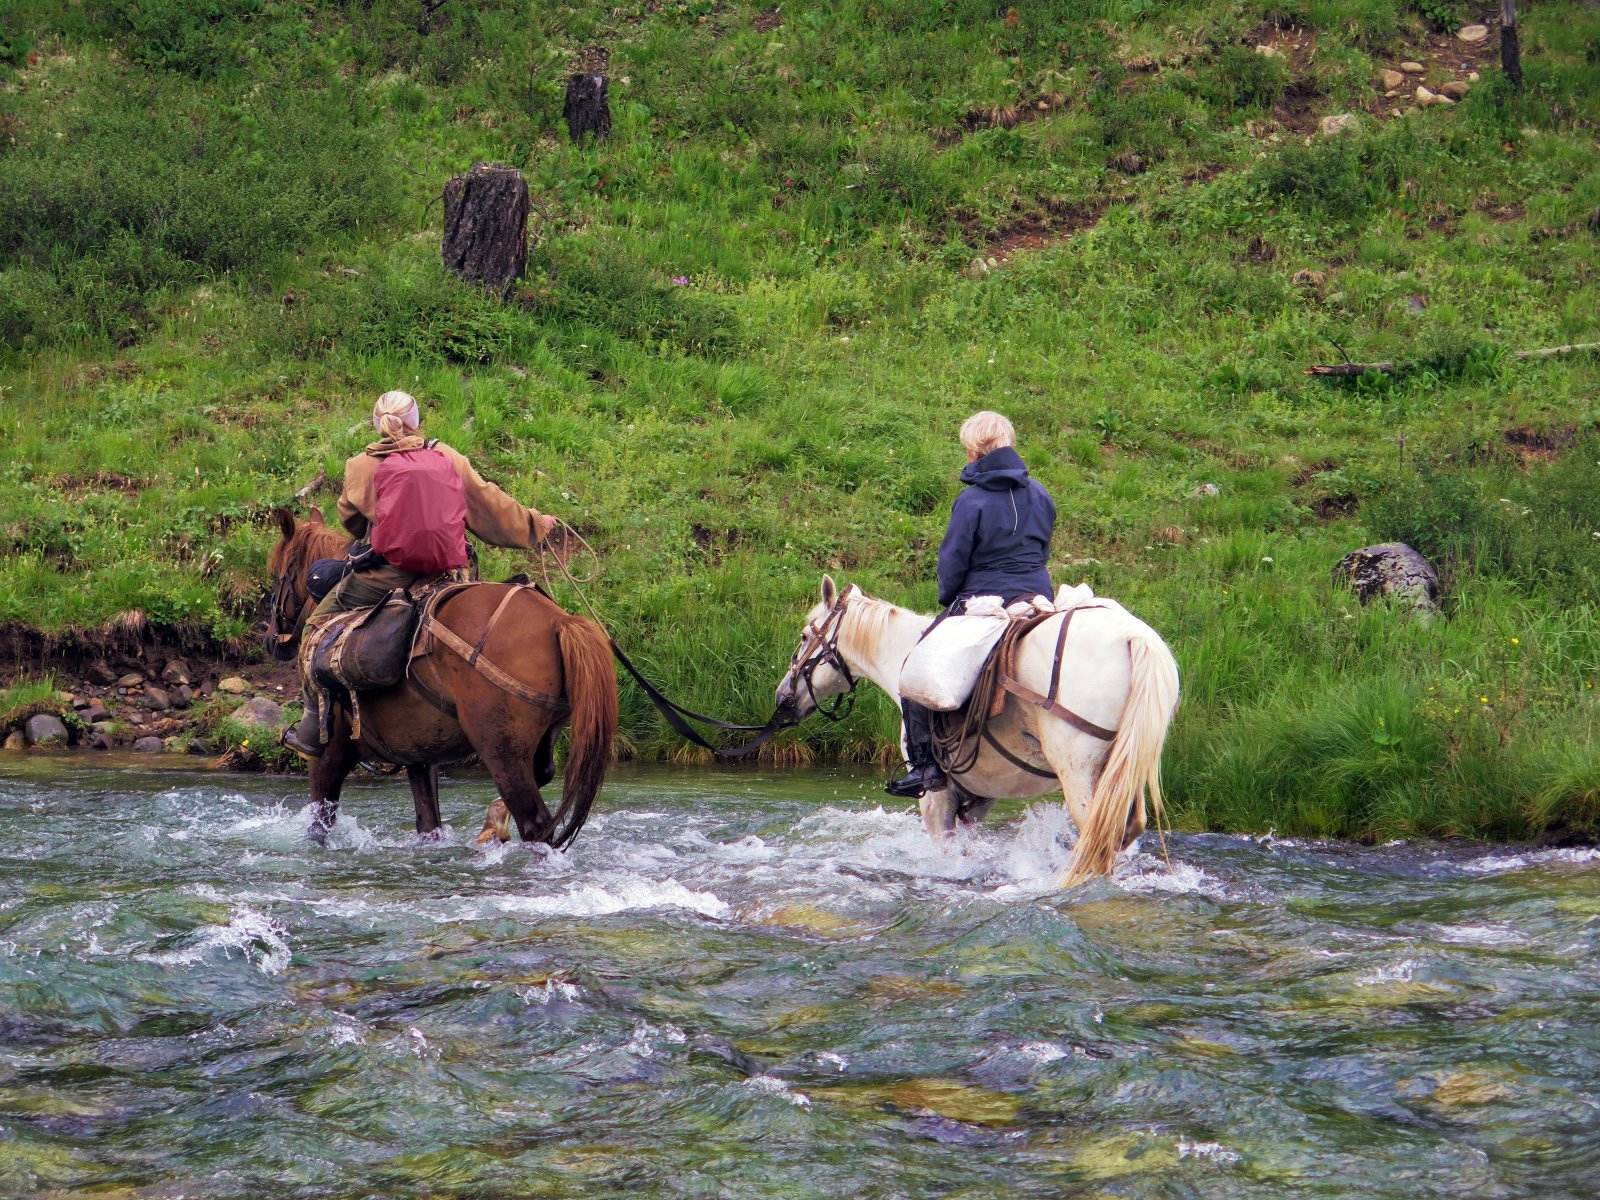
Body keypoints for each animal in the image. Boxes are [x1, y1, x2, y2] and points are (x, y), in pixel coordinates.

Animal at [264, 507, 618, 848]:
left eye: (276, 573)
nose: (271, 640)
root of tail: (560, 621)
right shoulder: (419, 756)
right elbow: (428, 824)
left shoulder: (330, 755)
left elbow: (319, 824)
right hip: (543, 739)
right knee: (541, 787)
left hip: (501, 751)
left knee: (534, 823)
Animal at [772, 575, 1180, 885]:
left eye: (804, 636)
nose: (783, 698)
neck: (904, 651)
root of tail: (1133, 637)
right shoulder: (981, 795)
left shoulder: (936, 796)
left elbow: (947, 852)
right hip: (1123, 770)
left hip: (1079, 772)